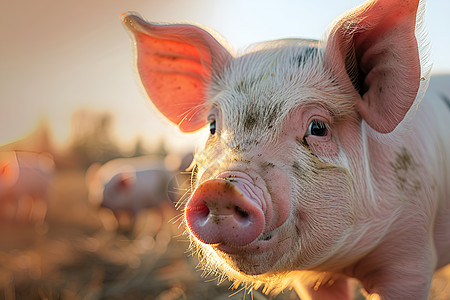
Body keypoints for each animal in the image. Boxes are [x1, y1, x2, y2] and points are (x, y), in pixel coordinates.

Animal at [123, 0, 450, 298]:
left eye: (317, 127)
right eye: (213, 126)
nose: (221, 187)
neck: (344, 262)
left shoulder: (410, 253)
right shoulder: (313, 280)